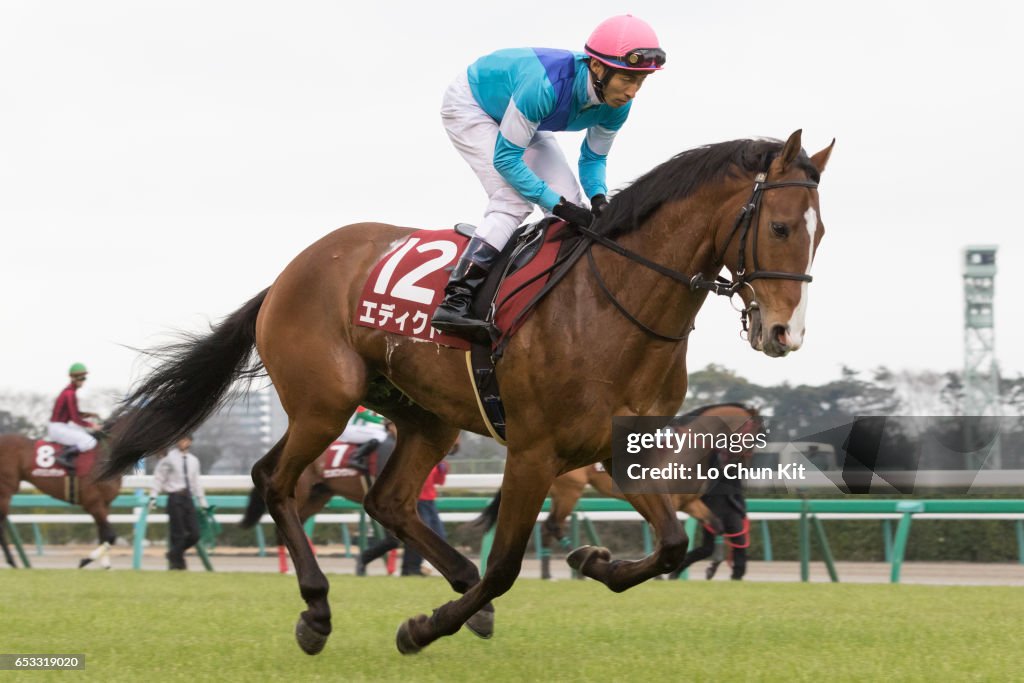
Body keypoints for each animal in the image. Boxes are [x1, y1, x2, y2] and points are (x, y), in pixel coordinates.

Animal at [0, 436, 119, 569]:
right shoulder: (94, 503)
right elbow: (110, 536)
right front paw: (85, 561)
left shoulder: (105, 504)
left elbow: (104, 535)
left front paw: (105, 565)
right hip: (5, 491)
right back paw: (12, 562)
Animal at [462, 403, 761, 581]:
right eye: (756, 435)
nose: (742, 466)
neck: (687, 449)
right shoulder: (671, 501)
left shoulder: (689, 503)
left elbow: (717, 524)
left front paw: (711, 566)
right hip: (570, 491)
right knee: (553, 526)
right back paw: (577, 561)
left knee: (548, 527)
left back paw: (553, 570)